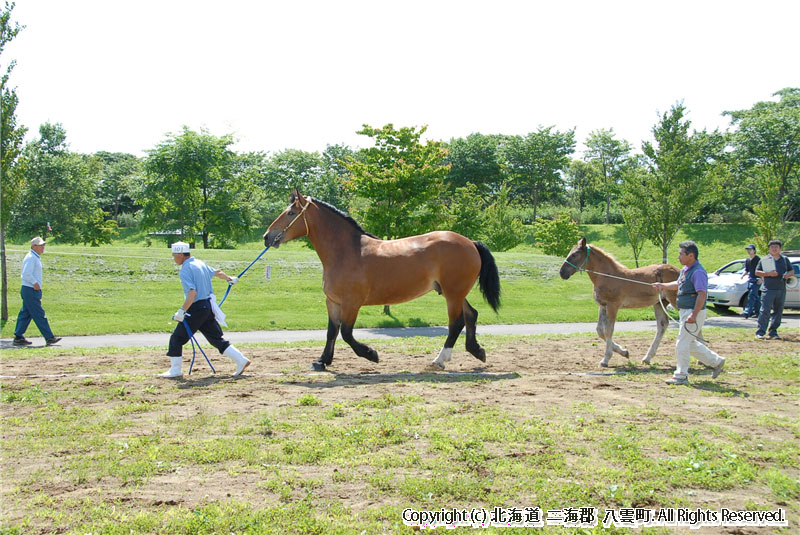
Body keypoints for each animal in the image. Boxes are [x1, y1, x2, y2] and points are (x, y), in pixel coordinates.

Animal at [262, 189, 500, 372]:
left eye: (290, 213)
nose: (267, 237)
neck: (347, 251)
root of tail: (470, 242)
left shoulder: (352, 303)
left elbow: (346, 333)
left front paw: (371, 354)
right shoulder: (333, 302)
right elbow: (332, 331)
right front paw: (321, 361)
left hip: (453, 294)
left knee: (456, 323)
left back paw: (439, 360)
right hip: (453, 293)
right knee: (471, 315)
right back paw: (477, 351)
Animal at [560, 240, 680, 368]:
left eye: (575, 254)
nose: (562, 272)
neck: (607, 275)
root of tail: (681, 271)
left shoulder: (613, 306)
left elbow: (608, 330)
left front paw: (605, 359)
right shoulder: (603, 306)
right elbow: (600, 331)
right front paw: (624, 352)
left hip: (675, 301)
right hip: (659, 303)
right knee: (662, 325)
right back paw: (647, 358)